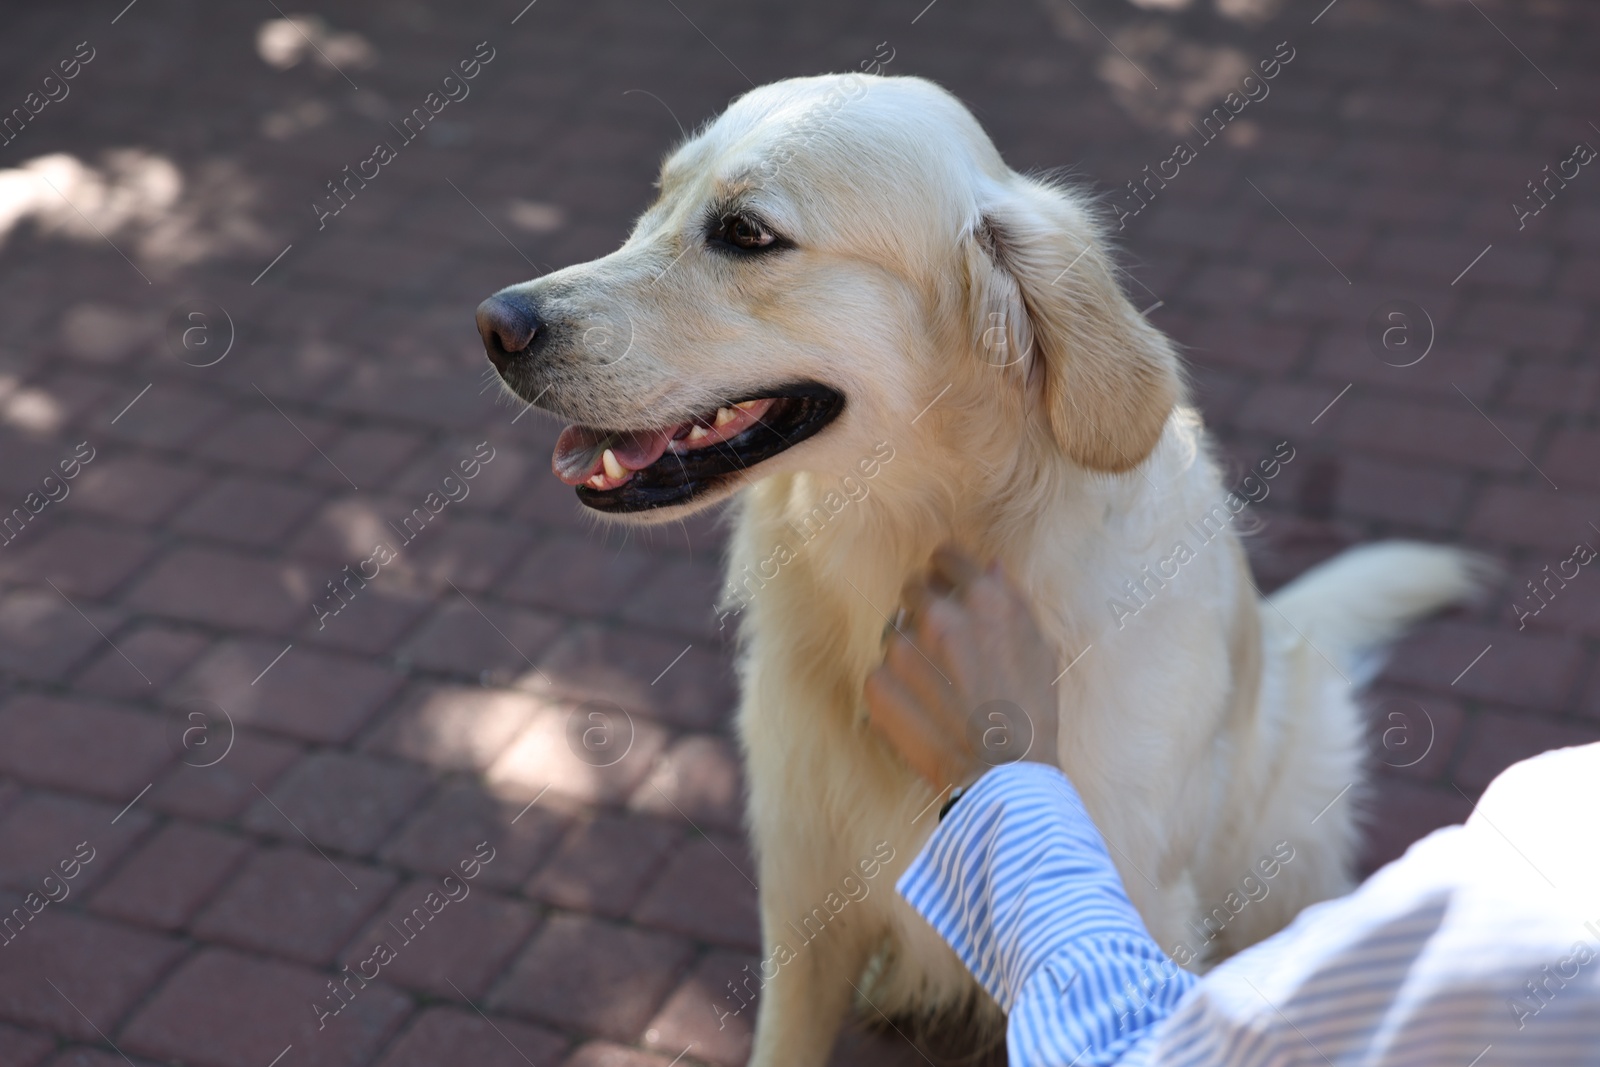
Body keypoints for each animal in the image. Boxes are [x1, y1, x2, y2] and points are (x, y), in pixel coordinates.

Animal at [476, 70, 1484, 1062]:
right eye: (658, 198)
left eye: (747, 233)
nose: (495, 324)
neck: (910, 544)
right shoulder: (802, 896)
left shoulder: (1142, 897)